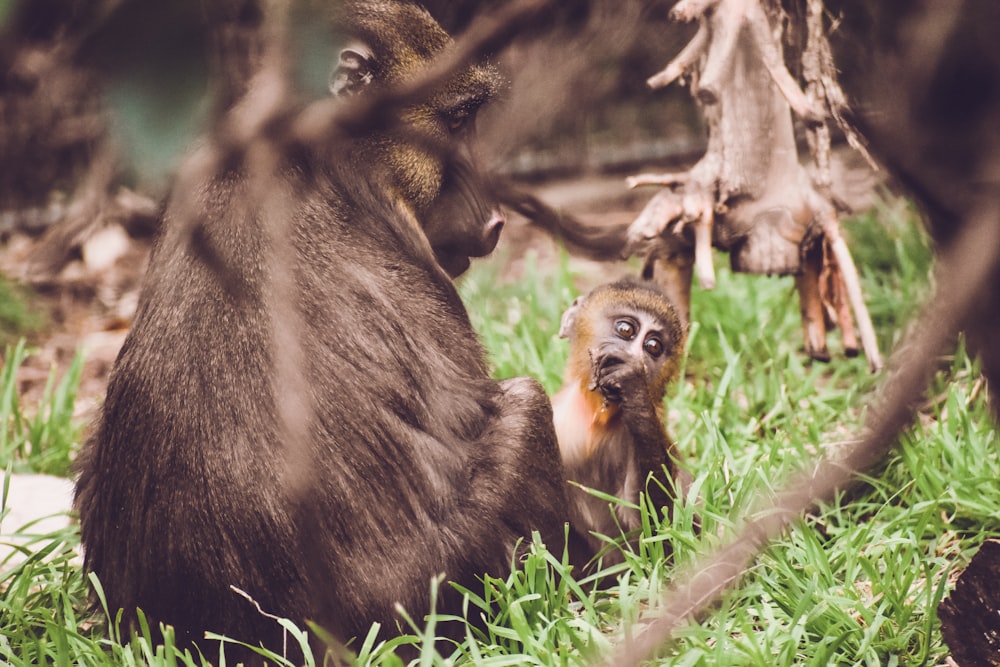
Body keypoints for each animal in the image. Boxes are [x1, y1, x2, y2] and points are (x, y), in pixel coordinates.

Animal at [556, 280, 688, 564]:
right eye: (626, 330)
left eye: (653, 346)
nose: (638, 359)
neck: (594, 417)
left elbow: (652, 535)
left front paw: (632, 384)